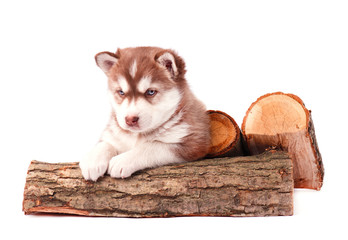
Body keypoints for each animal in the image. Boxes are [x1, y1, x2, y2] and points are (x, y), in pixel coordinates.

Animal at [79, 47, 209, 181]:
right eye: (121, 92)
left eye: (150, 92)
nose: (130, 119)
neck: (137, 135)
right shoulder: (114, 133)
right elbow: (106, 143)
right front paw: (93, 160)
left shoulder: (194, 142)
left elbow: (153, 145)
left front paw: (123, 160)